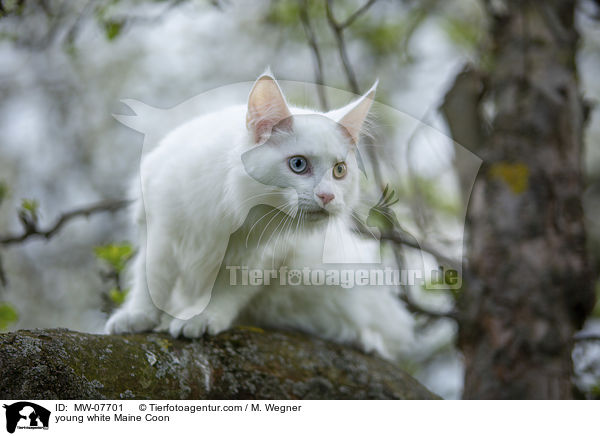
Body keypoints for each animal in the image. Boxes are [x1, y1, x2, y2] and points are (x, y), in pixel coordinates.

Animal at [106, 72, 412, 362]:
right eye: (298, 164)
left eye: (339, 170)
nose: (327, 196)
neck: (233, 207)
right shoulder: (162, 228)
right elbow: (153, 280)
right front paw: (138, 316)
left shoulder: (260, 258)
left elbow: (227, 293)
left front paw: (202, 317)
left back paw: (366, 340)